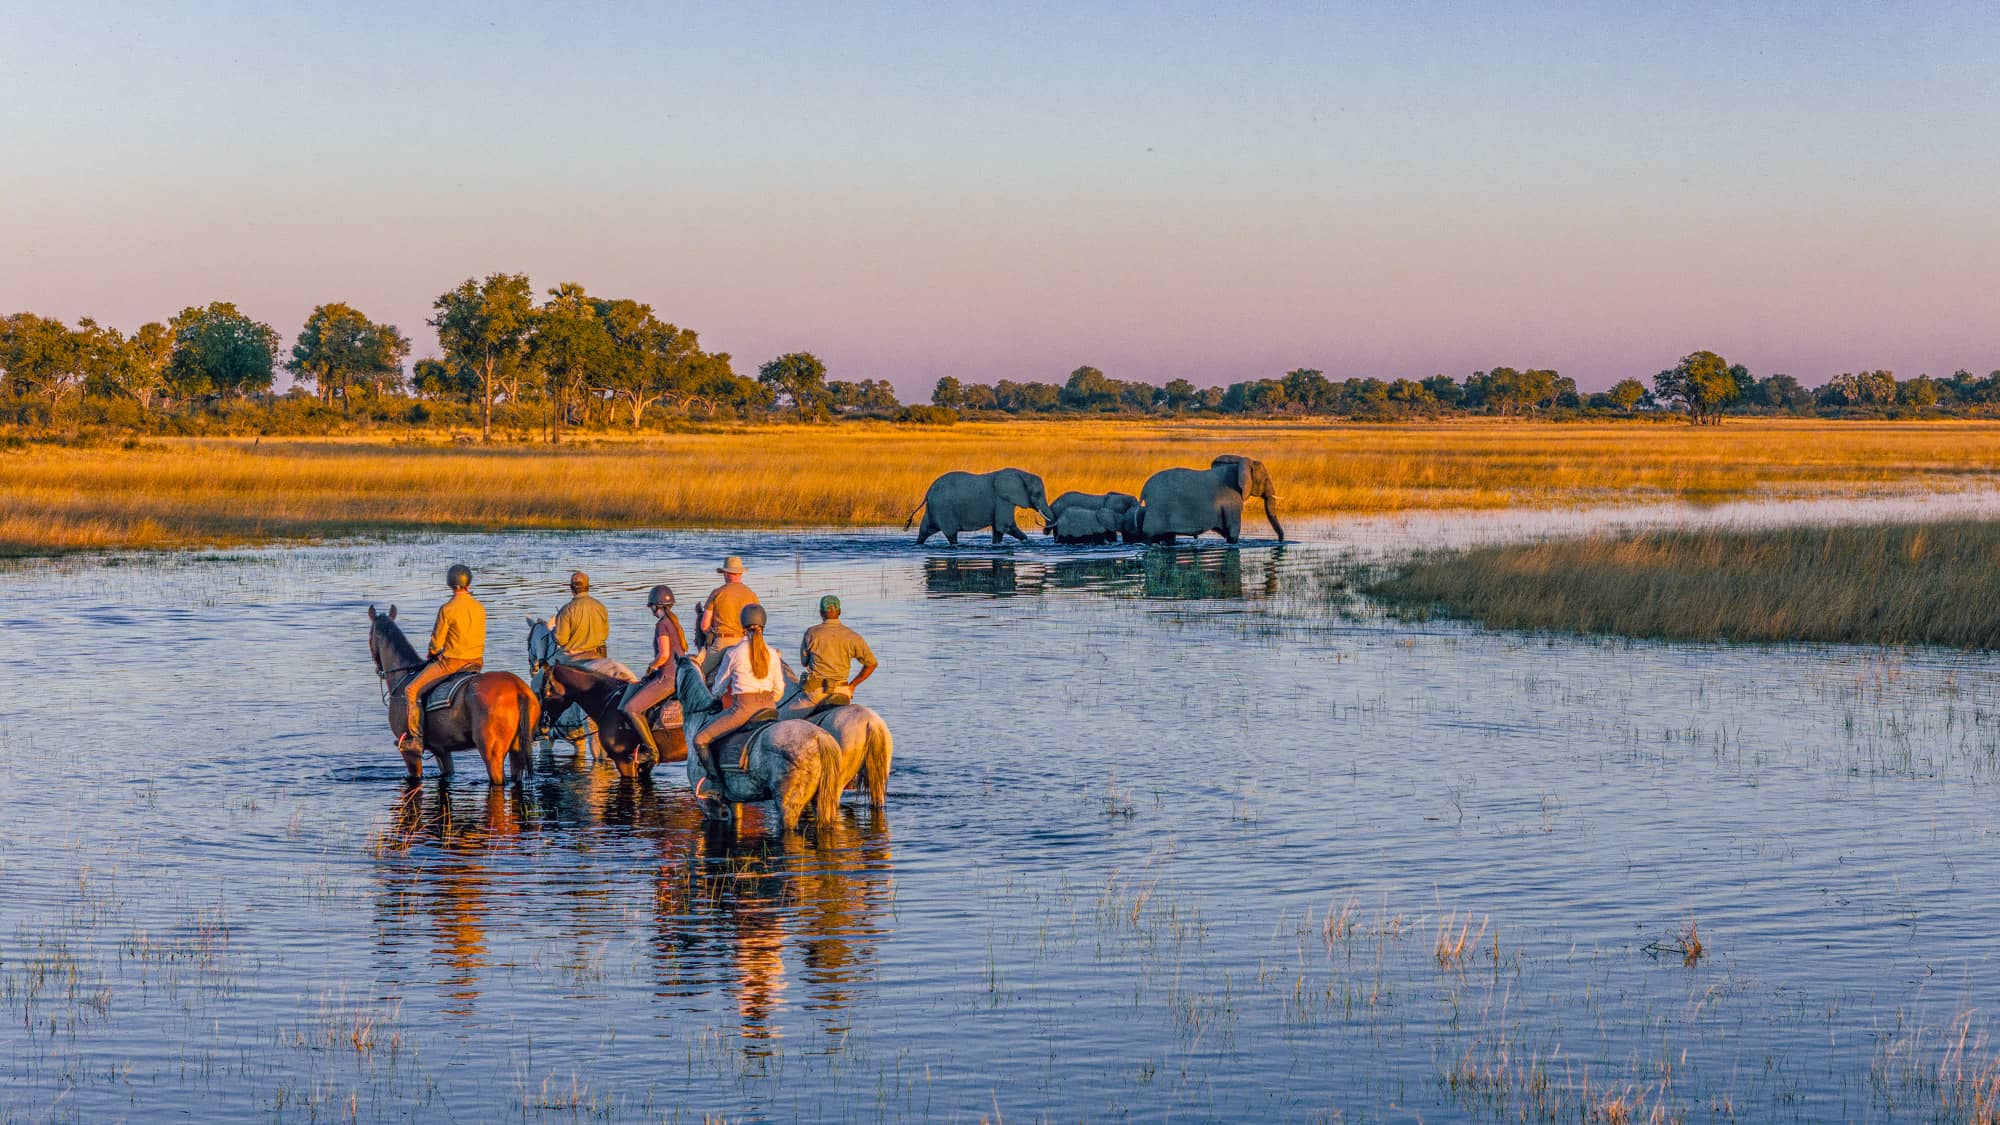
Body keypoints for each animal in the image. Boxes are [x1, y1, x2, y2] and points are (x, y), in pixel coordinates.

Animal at [366, 605, 538, 785]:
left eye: (369, 635)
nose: (378, 668)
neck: (405, 675)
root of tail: (517, 687)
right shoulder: (442, 750)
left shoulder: (410, 754)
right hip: (517, 749)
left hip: (492, 754)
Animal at [673, 655, 844, 829]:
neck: (699, 719)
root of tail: (819, 737)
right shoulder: (734, 802)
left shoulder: (709, 806)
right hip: (820, 800)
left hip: (788, 804)